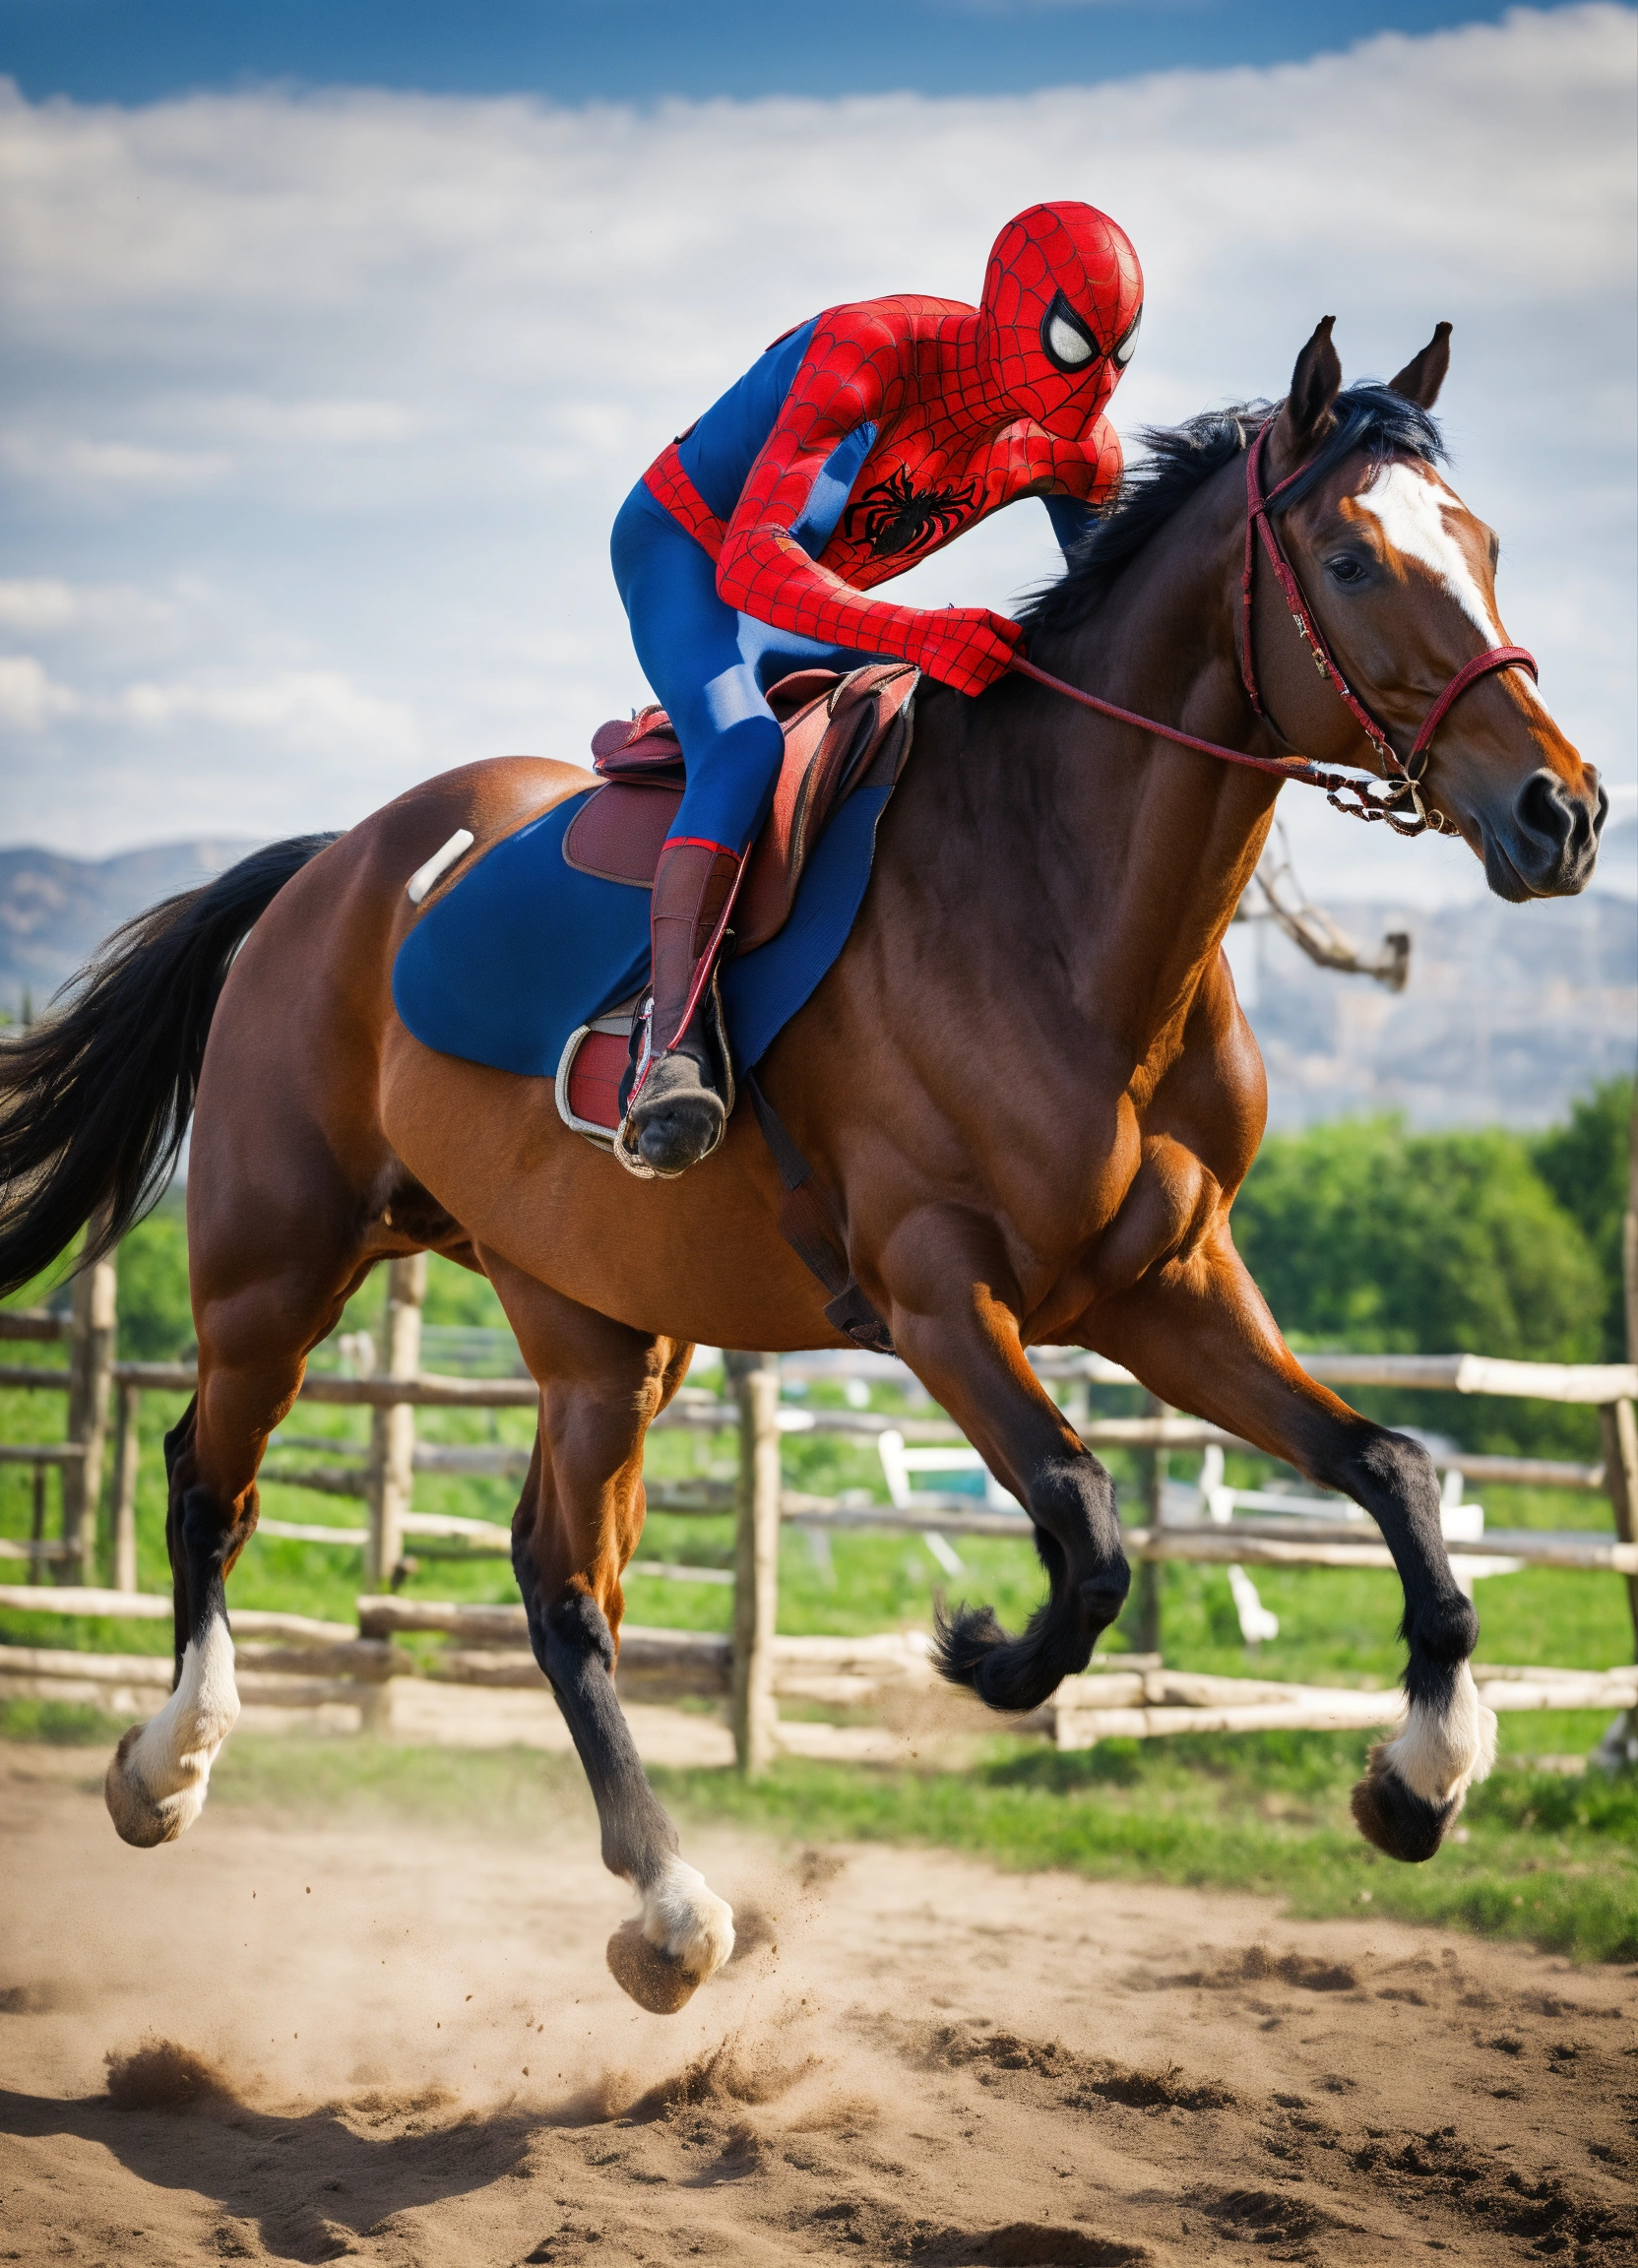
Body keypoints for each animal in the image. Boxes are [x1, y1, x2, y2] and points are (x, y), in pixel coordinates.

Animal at [0, 319, 1604, 2014]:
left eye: (1490, 548)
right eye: (1355, 560)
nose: (1563, 811)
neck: (1064, 906)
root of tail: (328, 865)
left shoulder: (1167, 1286)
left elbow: (1390, 1467)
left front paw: (1424, 1773)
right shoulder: (937, 1294)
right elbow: (1089, 1521)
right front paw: (984, 1650)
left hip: (593, 1324)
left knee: (561, 1588)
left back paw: (663, 1903)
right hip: (275, 1271)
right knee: (209, 1484)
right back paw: (169, 1766)